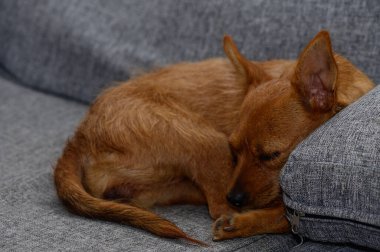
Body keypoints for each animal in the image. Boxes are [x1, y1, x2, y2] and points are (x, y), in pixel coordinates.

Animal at [54, 30, 374, 244]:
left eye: (270, 155)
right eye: (235, 152)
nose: (236, 198)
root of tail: (80, 136)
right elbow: (285, 216)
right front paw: (243, 222)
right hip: (205, 140)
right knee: (218, 204)